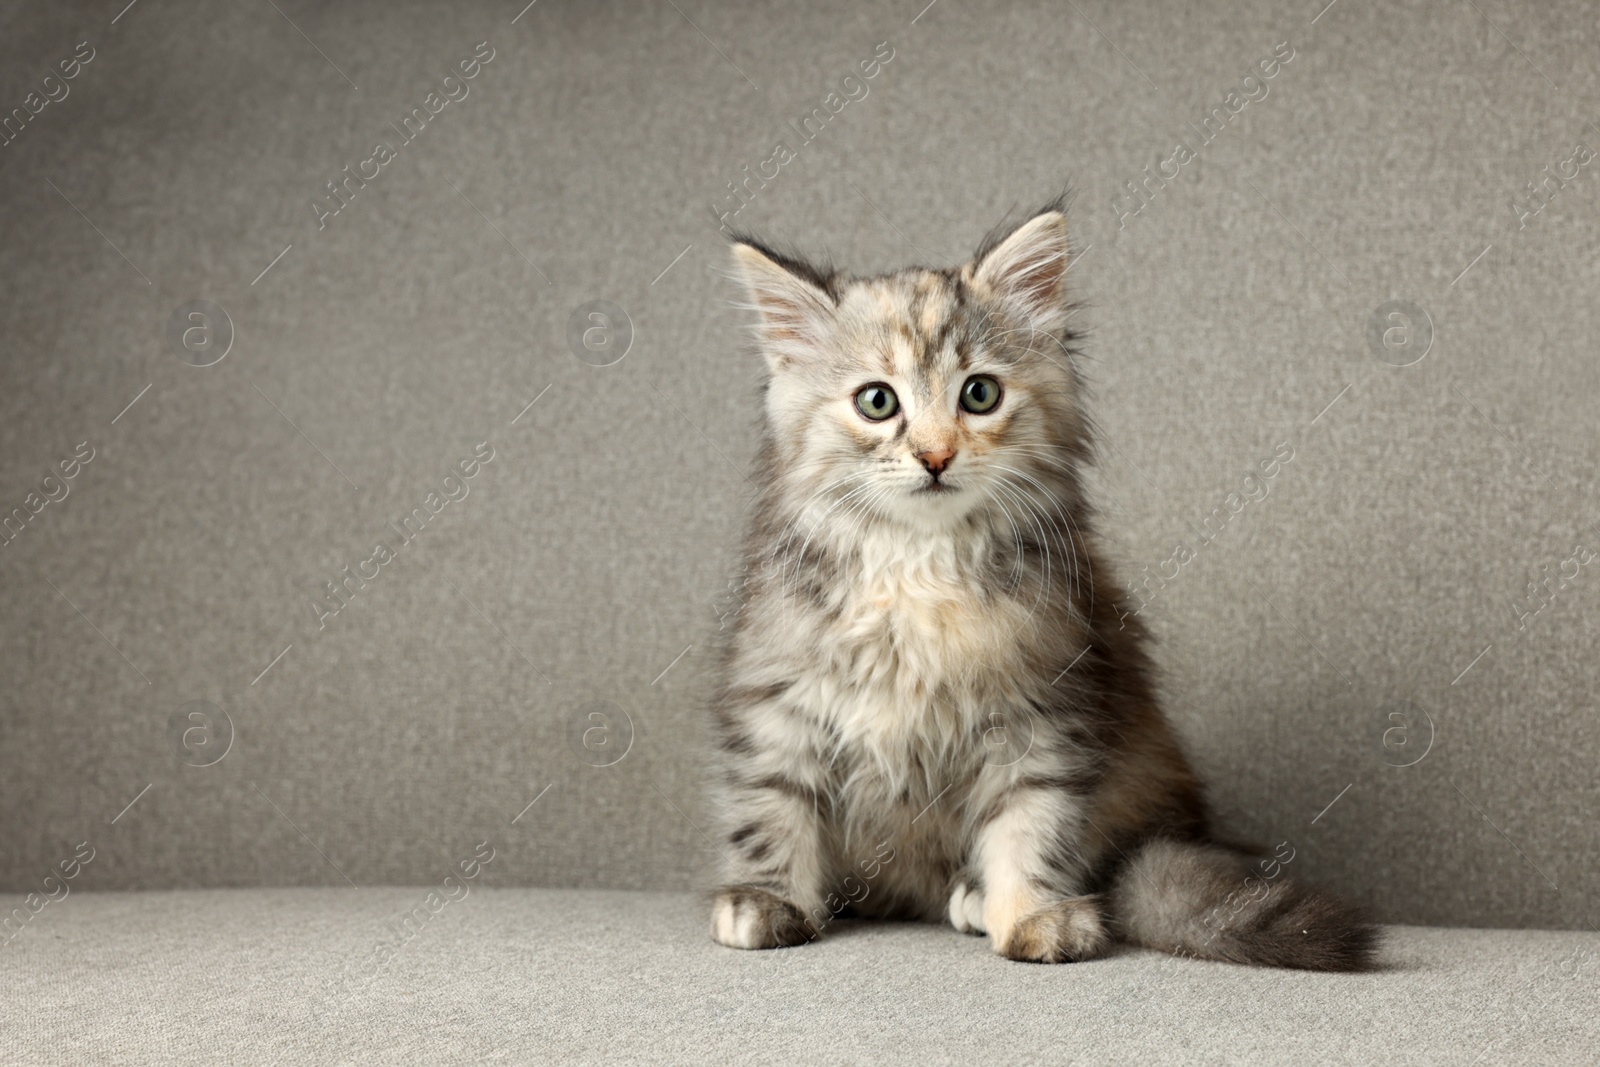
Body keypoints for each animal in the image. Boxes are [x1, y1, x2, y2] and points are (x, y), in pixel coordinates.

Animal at [713, 202, 1376, 979]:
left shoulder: (1040, 711)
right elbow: (770, 808)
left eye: (979, 394)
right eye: (877, 402)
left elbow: (1031, 823)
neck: (920, 573)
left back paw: (973, 897)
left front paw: (1032, 915)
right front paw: (766, 899)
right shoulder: (778, 699)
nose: (935, 455)